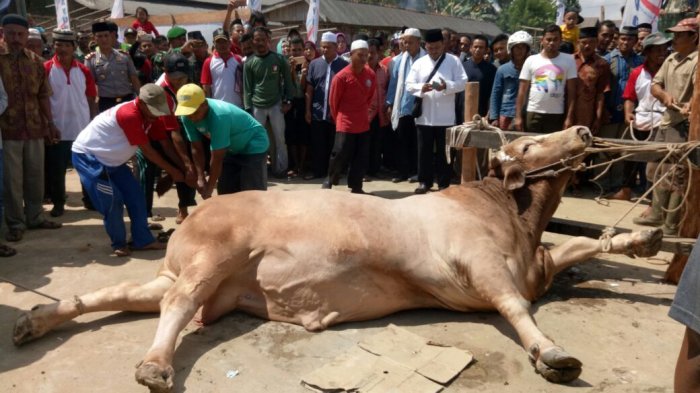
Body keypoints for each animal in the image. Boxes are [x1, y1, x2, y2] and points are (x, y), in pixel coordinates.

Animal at [15, 126, 660, 392]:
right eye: (528, 142)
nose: (583, 129)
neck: (514, 216)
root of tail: (201, 206)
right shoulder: (482, 267)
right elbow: (516, 307)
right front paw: (551, 353)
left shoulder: (539, 266)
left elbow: (582, 246)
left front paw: (641, 243)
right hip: (214, 256)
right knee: (175, 304)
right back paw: (154, 366)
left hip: (197, 274)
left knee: (121, 297)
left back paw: (37, 320)